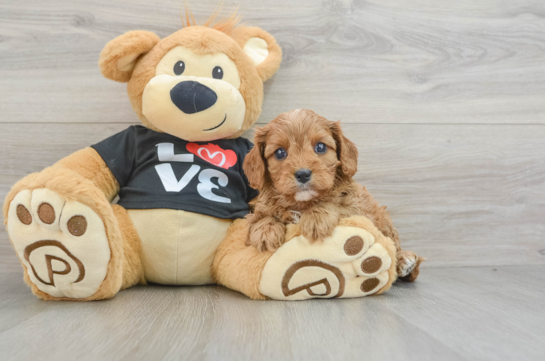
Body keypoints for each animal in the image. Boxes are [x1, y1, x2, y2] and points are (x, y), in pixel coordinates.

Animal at [243, 108, 424, 280]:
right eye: (280, 152)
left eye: (320, 147)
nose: (303, 174)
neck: (303, 203)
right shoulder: (260, 206)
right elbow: (259, 217)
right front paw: (265, 231)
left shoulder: (357, 208)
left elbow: (335, 203)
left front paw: (316, 218)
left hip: (383, 218)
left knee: (393, 246)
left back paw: (405, 261)